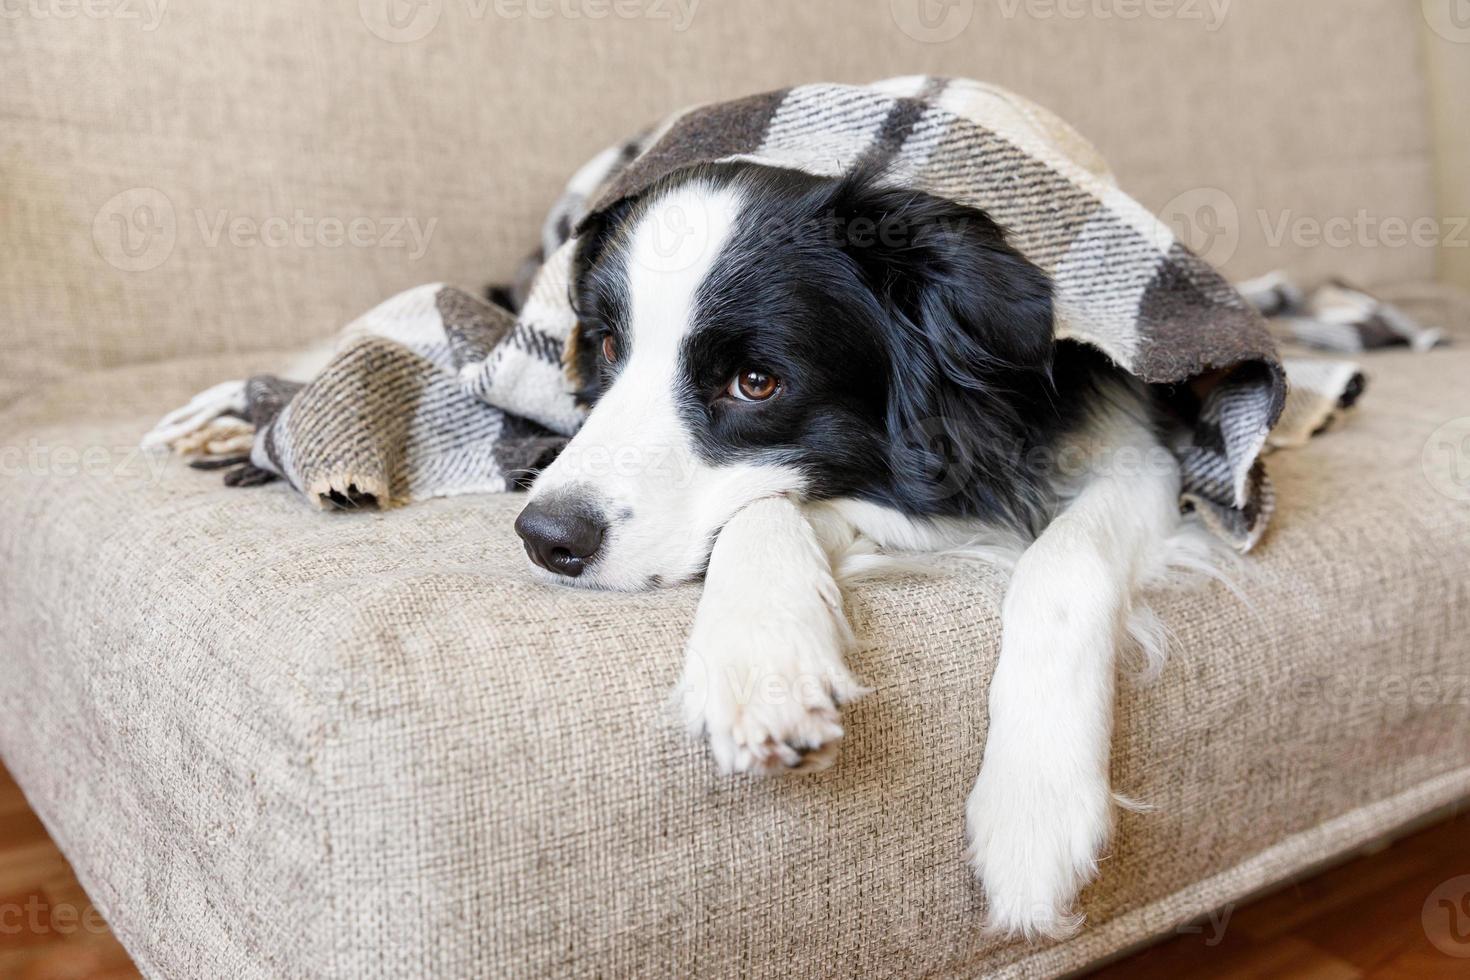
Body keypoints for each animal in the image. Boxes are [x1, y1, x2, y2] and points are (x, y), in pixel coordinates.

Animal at [511, 163, 1211, 940]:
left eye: (755, 383)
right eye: (607, 346)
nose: (546, 536)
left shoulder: (1141, 452)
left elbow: (1066, 562)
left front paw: (1035, 808)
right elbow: (765, 508)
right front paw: (765, 663)